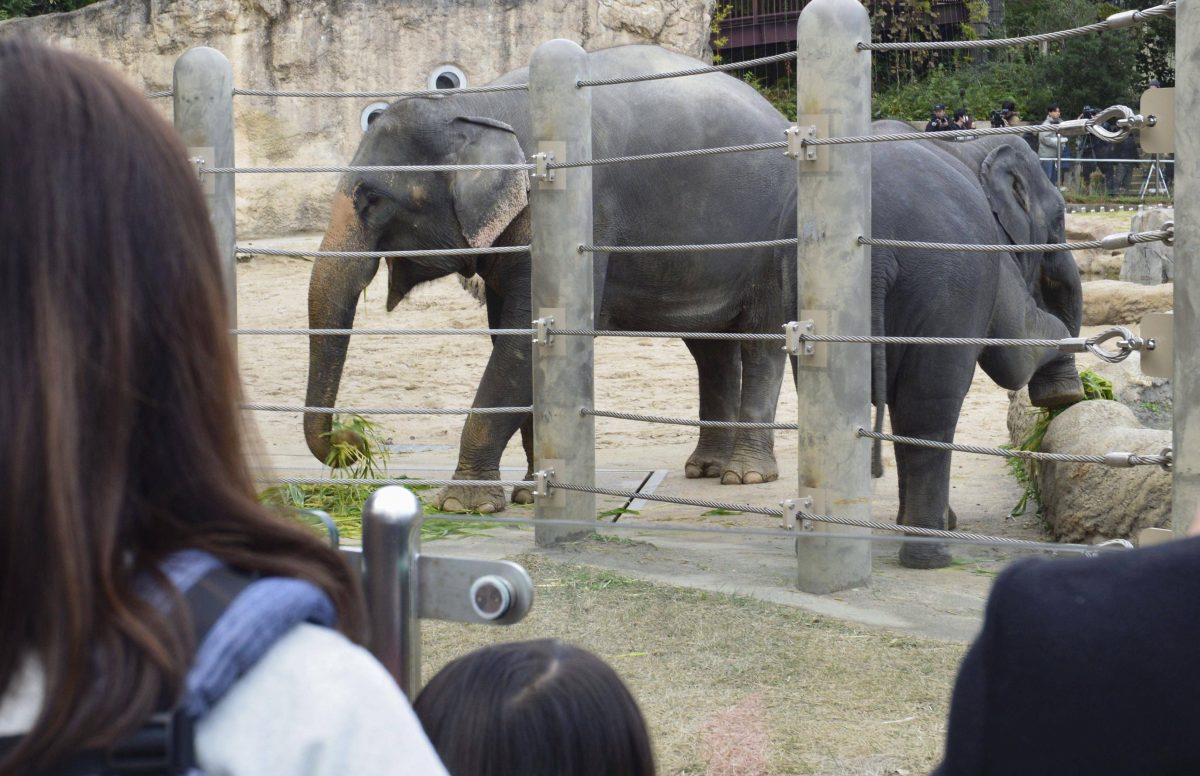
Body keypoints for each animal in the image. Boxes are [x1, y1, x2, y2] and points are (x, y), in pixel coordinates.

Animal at [304, 45, 801, 513]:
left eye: (371, 198)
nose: (355, 440)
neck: (477, 104)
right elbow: (510, 339)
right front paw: (529, 493)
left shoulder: (573, 213)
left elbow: (525, 341)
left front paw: (462, 504)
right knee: (711, 348)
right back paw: (705, 468)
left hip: (775, 235)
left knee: (762, 340)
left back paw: (744, 476)